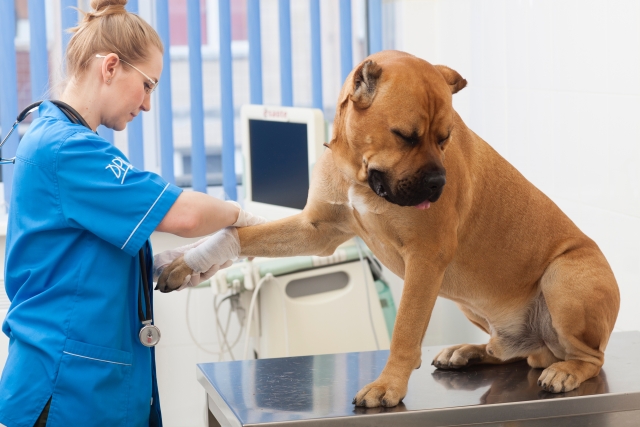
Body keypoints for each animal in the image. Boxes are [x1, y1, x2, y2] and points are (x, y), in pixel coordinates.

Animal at [159, 50, 620, 408]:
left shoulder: (426, 260)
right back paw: (468, 352)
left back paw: (565, 371)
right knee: (511, 351)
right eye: (405, 136)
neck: (359, 174)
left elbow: (405, 330)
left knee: (590, 357)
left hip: (563, 279)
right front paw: (191, 261)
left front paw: (388, 385)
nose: (437, 184)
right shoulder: (317, 231)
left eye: (445, 137)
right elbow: (245, 237)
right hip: (472, 304)